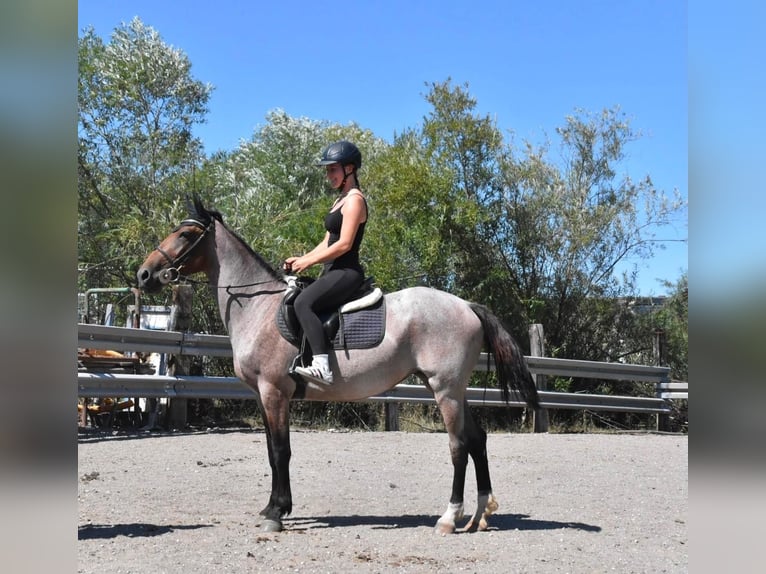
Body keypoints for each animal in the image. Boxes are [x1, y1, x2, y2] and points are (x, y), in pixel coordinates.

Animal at [136, 196, 540, 534]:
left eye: (185, 233)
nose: (144, 274)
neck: (257, 307)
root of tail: (467, 305)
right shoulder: (263, 397)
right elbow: (271, 451)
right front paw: (274, 507)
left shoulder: (274, 392)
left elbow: (280, 451)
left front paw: (277, 514)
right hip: (448, 389)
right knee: (477, 439)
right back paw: (481, 514)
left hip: (446, 391)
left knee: (458, 445)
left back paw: (448, 518)